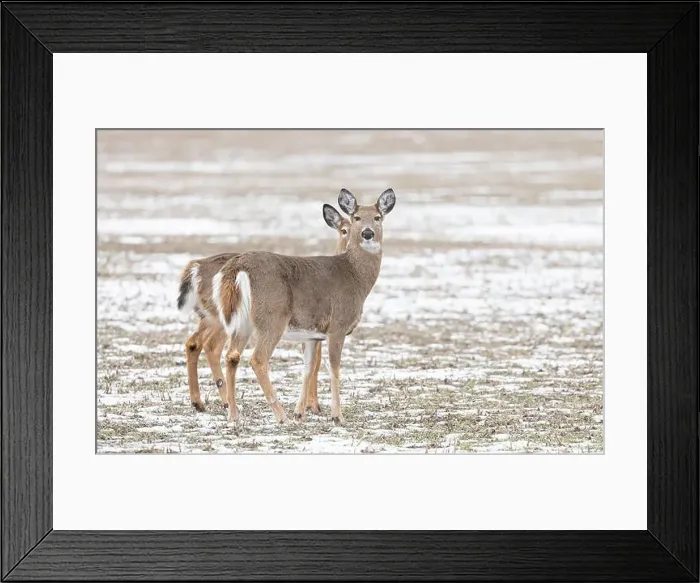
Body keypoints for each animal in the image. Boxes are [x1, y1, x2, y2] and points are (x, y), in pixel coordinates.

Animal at [176, 204, 351, 414]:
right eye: (343, 230)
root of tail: (196, 267)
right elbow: (315, 362)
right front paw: (312, 406)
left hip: (211, 317)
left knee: (194, 343)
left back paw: (200, 402)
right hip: (225, 318)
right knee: (212, 346)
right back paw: (225, 402)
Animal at [208, 188, 395, 426]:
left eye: (378, 217)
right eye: (357, 218)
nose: (368, 233)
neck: (355, 276)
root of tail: (238, 268)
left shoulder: (312, 334)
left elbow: (308, 368)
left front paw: (300, 413)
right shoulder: (338, 325)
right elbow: (334, 368)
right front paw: (337, 416)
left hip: (240, 322)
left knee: (231, 356)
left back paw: (234, 415)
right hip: (273, 315)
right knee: (258, 359)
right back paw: (280, 416)